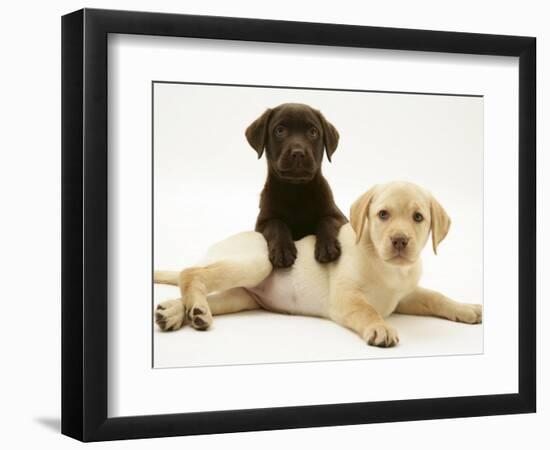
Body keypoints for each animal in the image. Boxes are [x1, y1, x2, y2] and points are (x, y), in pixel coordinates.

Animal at [155, 182, 484, 348]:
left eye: (418, 217)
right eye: (383, 215)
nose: (400, 241)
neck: (388, 268)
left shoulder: (405, 295)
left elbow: (436, 297)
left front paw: (466, 308)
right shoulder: (346, 299)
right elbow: (367, 310)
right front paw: (380, 327)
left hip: (241, 296)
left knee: (195, 293)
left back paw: (179, 313)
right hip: (256, 262)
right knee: (190, 273)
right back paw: (194, 309)